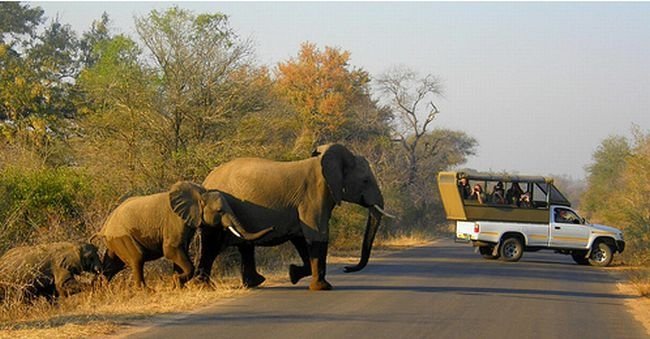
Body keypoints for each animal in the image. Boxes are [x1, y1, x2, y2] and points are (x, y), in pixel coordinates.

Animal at [95, 182, 270, 288]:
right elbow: (171, 250)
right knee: (137, 258)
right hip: (123, 237)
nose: (272, 227)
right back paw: (145, 291)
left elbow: (181, 251)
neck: (199, 194)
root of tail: (105, 226)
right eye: (220, 211)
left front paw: (176, 285)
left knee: (113, 265)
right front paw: (175, 281)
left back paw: (99, 291)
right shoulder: (175, 221)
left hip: (115, 241)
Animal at [196, 143, 390, 292]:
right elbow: (317, 236)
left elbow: (302, 239)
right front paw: (323, 288)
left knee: (244, 246)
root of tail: (206, 179)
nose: (346, 268)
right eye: (365, 181)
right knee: (211, 246)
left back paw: (254, 283)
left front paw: (293, 273)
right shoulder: (314, 196)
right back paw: (205, 287)